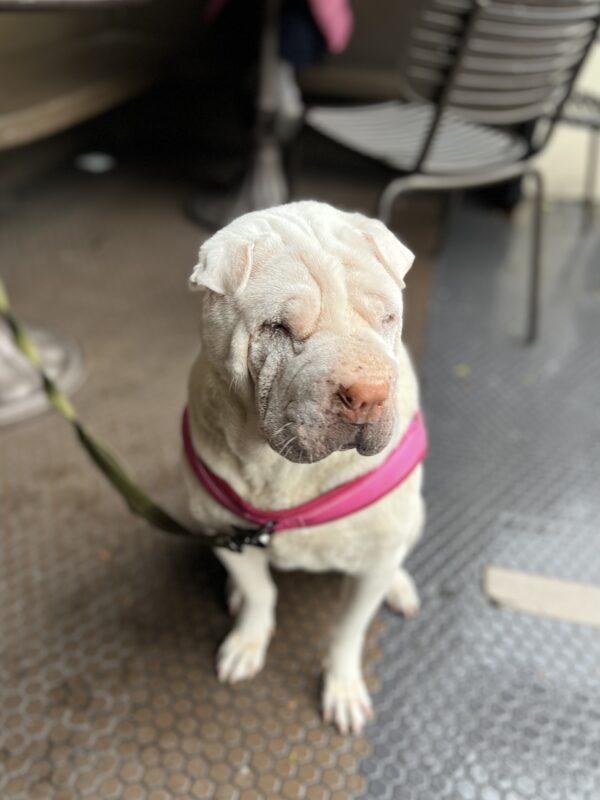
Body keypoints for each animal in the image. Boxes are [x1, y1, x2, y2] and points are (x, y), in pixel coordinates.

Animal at [185, 198, 424, 732]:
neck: (286, 475)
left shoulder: (372, 558)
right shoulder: (219, 527)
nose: (368, 394)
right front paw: (247, 640)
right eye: (277, 328)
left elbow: (348, 630)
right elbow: (260, 593)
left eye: (387, 318)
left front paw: (343, 689)